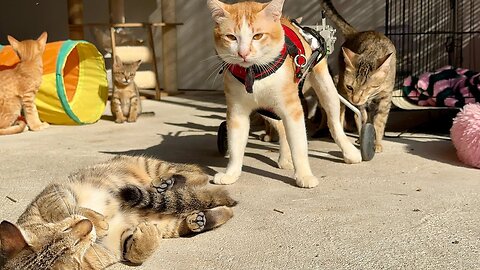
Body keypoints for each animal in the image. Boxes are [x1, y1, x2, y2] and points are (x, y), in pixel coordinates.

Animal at [0, 155, 236, 268]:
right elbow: (136, 253)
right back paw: (199, 218)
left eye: (67, 230)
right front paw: (146, 236)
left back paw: (167, 184)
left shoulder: (53, 193)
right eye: (74, 248)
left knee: (196, 173)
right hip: (169, 219)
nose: (89, 228)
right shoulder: (116, 245)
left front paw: (98, 221)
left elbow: (64, 209)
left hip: (152, 166)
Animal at [206, 0, 360, 188]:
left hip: (325, 88)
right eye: (231, 37)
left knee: (334, 123)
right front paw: (231, 174)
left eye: (257, 36)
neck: (255, 73)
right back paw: (285, 157)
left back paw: (349, 152)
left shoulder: (293, 110)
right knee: (281, 128)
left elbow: (299, 146)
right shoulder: (237, 112)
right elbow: (236, 146)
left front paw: (304, 175)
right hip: (268, 109)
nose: (243, 53)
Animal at [320, 0, 396, 152]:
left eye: (368, 88)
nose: (355, 100)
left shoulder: (385, 97)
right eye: (350, 87)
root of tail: (356, 33)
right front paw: (365, 138)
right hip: (341, 89)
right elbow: (361, 117)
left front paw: (377, 143)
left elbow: (379, 122)